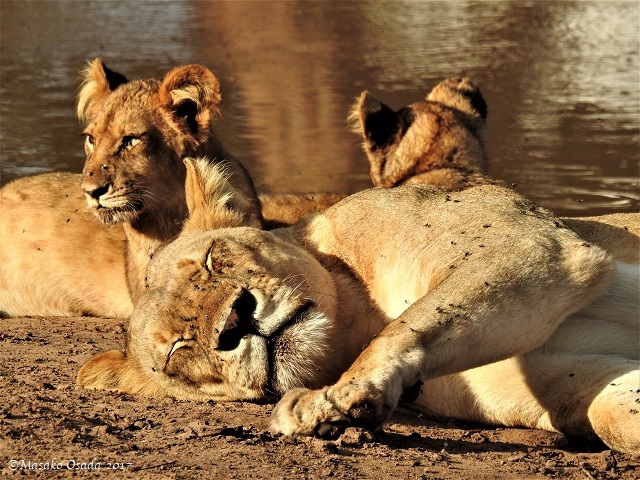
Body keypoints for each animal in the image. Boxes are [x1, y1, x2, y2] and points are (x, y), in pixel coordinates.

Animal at [78, 158, 640, 453]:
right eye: (179, 349)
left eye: (213, 260)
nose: (235, 322)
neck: (357, 319)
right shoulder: (563, 377)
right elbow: (615, 413)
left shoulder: (528, 243)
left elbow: (412, 322)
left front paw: (333, 399)